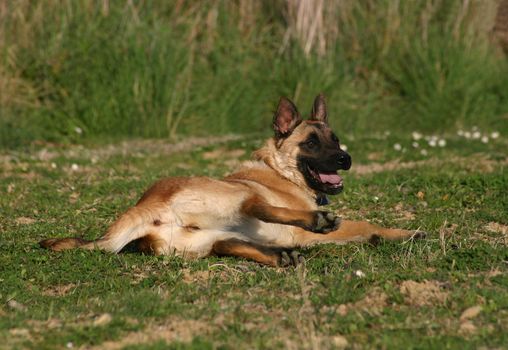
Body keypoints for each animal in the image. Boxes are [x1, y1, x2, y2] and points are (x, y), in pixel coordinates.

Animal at [38, 94, 424, 266]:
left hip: (204, 240)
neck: (281, 170)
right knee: (258, 206)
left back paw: (280, 255)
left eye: (336, 139)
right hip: (233, 194)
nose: (346, 159)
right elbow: (367, 224)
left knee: (228, 244)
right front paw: (401, 233)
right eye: (312, 143)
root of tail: (147, 205)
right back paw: (314, 223)